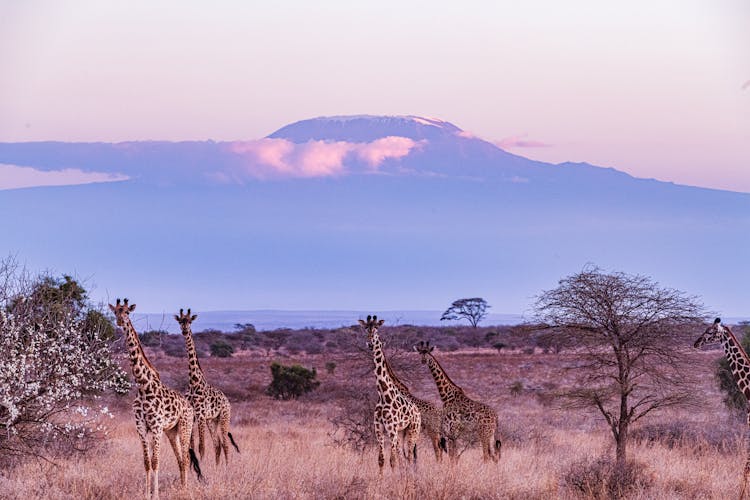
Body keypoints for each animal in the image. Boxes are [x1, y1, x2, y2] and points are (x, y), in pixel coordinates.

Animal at [108, 298, 203, 498]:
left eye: (127, 311)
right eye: (115, 312)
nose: (120, 321)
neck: (143, 385)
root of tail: (189, 406)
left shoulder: (157, 427)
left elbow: (155, 461)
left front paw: (156, 495)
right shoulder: (142, 427)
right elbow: (146, 462)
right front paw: (146, 494)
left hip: (185, 427)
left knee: (185, 457)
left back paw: (185, 489)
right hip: (171, 431)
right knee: (180, 458)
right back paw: (181, 487)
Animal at [175, 306, 239, 466]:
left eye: (190, 321)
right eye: (180, 321)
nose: (184, 331)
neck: (193, 381)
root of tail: (227, 400)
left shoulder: (200, 415)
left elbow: (201, 446)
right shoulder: (193, 415)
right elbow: (191, 445)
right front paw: (192, 467)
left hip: (224, 417)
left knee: (225, 443)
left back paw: (227, 467)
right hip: (212, 421)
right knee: (217, 444)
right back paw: (217, 467)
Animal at [360, 314, 424, 470]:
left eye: (376, 328)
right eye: (365, 328)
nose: (370, 343)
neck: (383, 394)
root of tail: (418, 412)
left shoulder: (391, 428)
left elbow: (392, 460)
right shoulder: (379, 428)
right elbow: (381, 459)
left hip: (413, 431)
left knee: (409, 457)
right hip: (402, 433)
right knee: (404, 457)